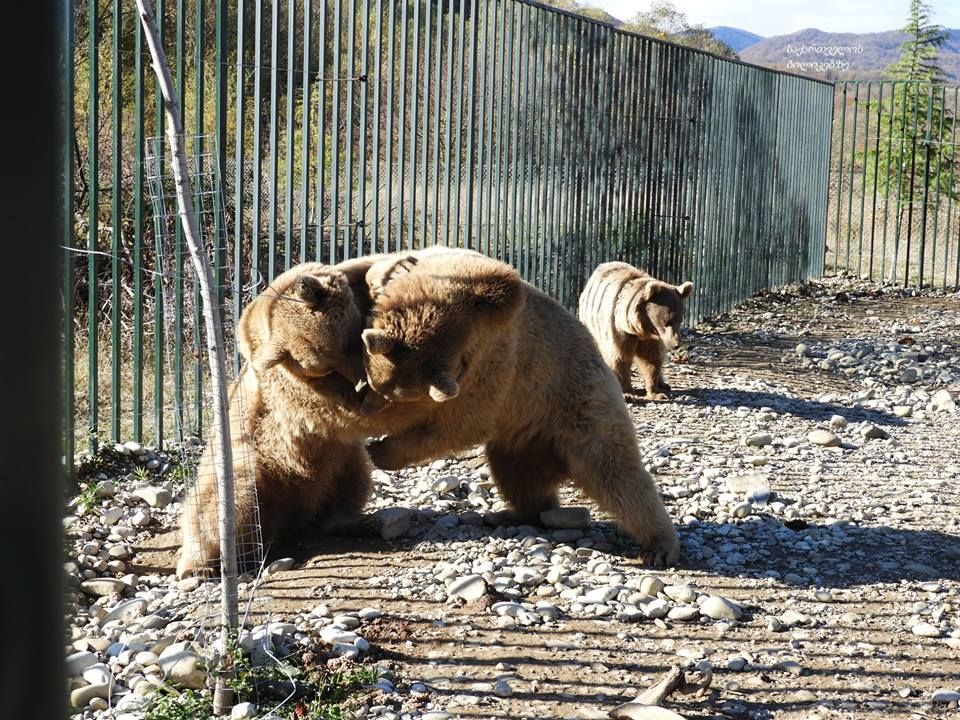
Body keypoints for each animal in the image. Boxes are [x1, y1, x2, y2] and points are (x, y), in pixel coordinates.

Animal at [178, 264, 374, 580]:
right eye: (325, 367)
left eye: (346, 343)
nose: (360, 380)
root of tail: (289, 521)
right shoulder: (290, 387)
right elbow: (331, 407)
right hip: (252, 467)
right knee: (224, 499)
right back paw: (208, 562)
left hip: (337, 461)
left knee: (352, 475)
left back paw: (348, 521)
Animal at [572, 262, 692, 402]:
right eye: (667, 322)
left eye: (680, 320)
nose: (676, 344)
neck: (641, 329)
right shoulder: (619, 330)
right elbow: (620, 358)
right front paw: (627, 394)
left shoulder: (651, 338)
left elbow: (651, 359)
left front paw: (656, 392)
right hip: (592, 325)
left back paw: (664, 385)